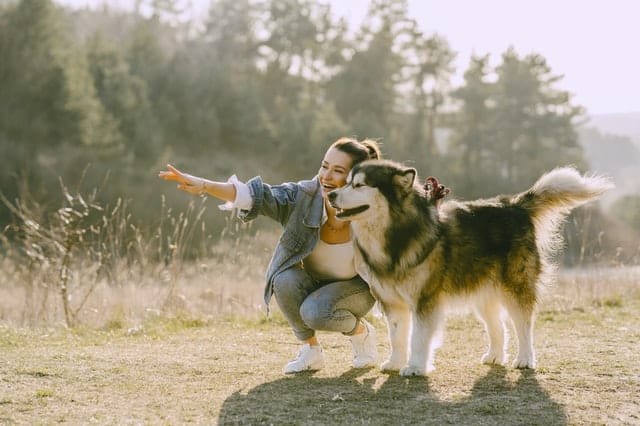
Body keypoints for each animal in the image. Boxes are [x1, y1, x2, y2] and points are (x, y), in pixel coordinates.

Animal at [330, 161, 616, 376]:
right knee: (497, 327)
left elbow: (419, 337)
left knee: (523, 325)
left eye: (359, 185)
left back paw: (525, 358)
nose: (331, 194)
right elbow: (397, 336)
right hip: (483, 292)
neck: (397, 233)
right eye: (347, 181)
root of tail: (514, 204)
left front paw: (416, 366)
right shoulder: (392, 302)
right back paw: (495, 355)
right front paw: (396, 362)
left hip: (515, 286)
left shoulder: (425, 300)